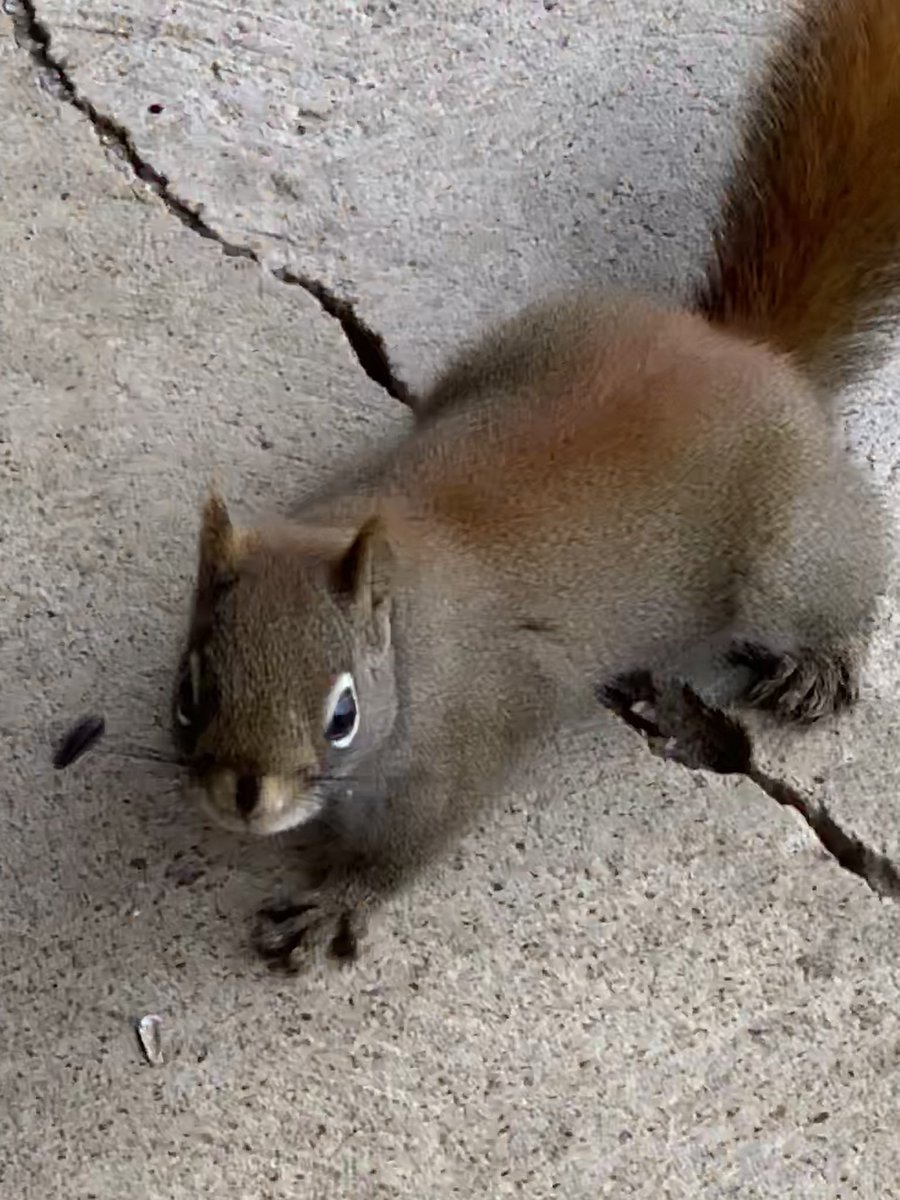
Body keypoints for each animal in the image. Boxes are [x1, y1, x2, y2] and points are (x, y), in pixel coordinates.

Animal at [173, 0, 900, 968]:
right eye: (191, 691)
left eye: (343, 715)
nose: (245, 796)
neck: (406, 618)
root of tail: (740, 351)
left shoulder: (462, 751)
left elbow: (410, 848)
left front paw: (337, 900)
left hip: (784, 559)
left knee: (844, 569)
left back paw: (827, 660)